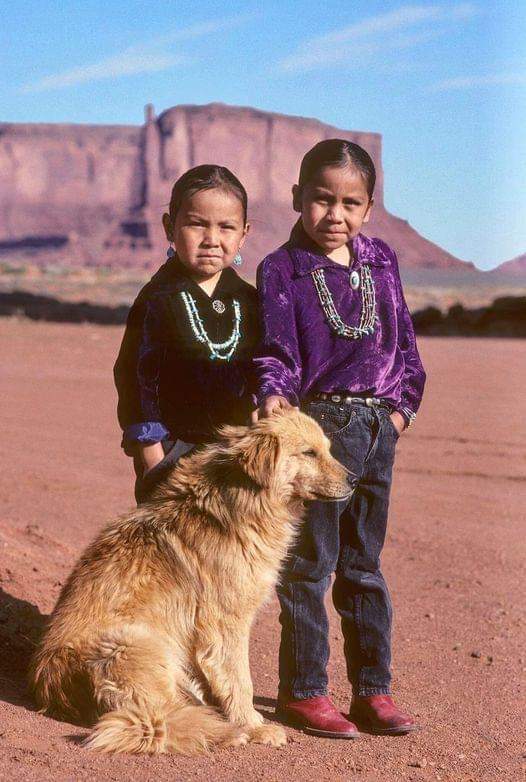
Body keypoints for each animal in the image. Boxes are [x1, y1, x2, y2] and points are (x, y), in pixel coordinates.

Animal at [31, 410, 352, 752]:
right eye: (309, 453)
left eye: (327, 448)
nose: (355, 479)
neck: (242, 499)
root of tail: (51, 684)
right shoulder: (227, 623)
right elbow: (240, 680)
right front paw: (254, 726)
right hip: (134, 645)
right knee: (161, 721)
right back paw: (225, 732)